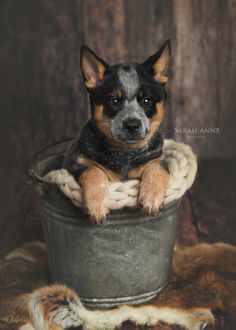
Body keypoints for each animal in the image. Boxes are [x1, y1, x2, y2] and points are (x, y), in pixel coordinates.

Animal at [63, 40, 171, 223]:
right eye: (113, 100)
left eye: (147, 100)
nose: (132, 125)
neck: (125, 154)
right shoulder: (77, 161)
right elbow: (93, 171)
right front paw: (97, 206)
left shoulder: (159, 158)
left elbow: (156, 168)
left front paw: (152, 197)